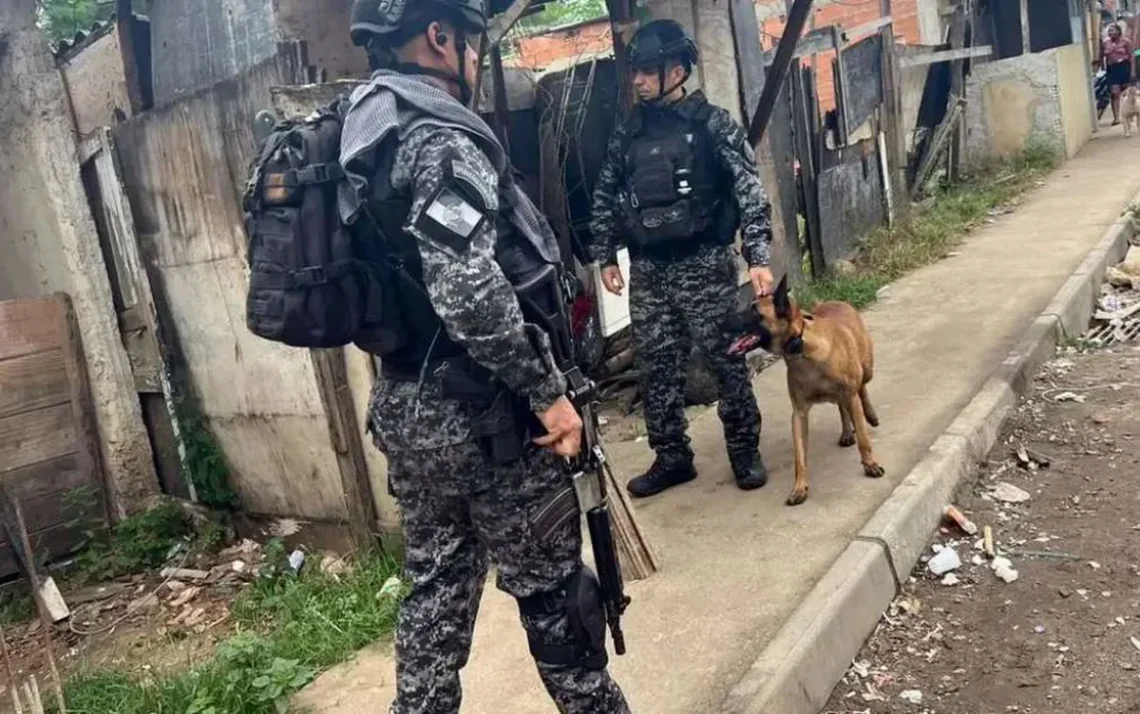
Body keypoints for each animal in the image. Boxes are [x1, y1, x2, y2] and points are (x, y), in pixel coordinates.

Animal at [725, 274, 884, 504]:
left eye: (754, 311)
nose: (721, 320)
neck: (801, 349)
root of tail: (835, 302)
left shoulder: (850, 394)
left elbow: (864, 439)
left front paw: (870, 464)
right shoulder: (799, 414)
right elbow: (799, 457)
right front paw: (799, 487)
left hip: (866, 369)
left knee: (862, 387)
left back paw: (870, 415)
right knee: (841, 406)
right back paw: (847, 432)